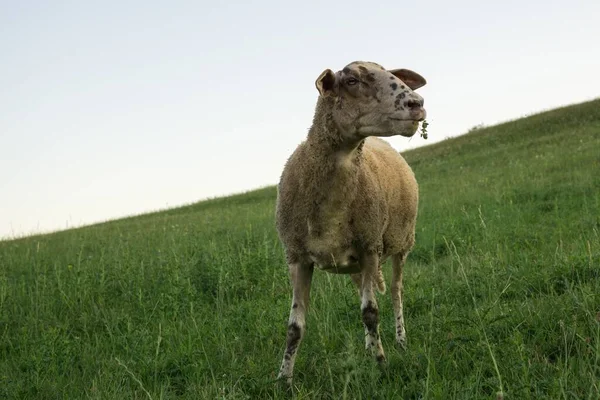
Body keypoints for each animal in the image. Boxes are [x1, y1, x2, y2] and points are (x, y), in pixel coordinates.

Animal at [276, 61, 426, 382]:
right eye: (352, 81)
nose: (417, 103)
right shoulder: (296, 257)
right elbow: (294, 327)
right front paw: (283, 380)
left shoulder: (370, 247)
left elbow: (370, 312)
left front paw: (381, 366)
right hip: (356, 262)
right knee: (363, 292)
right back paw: (370, 345)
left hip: (402, 242)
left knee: (395, 291)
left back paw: (399, 340)